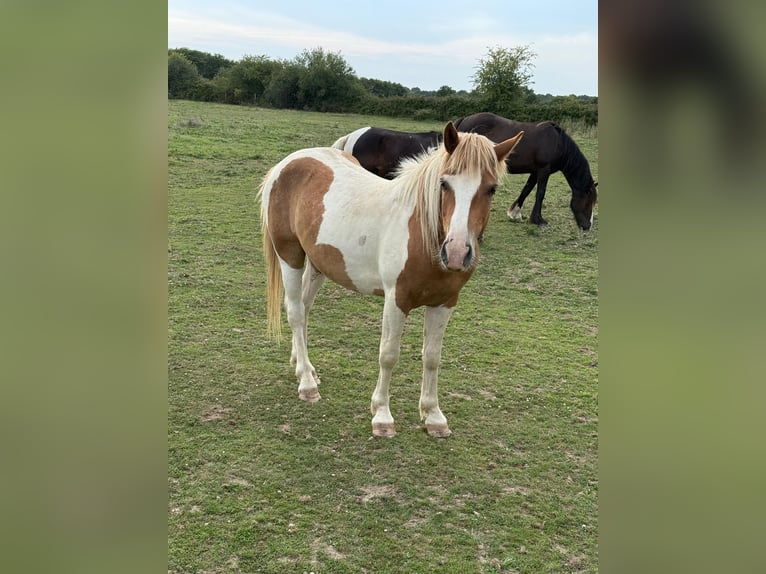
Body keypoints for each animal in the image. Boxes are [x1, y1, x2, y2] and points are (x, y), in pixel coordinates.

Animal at [259, 122, 523, 437]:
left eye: (491, 189)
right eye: (444, 184)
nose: (457, 253)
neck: (423, 235)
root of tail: (288, 162)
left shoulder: (445, 303)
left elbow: (432, 357)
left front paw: (434, 417)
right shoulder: (396, 300)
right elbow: (388, 355)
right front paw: (382, 416)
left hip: (318, 264)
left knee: (304, 308)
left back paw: (304, 367)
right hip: (290, 256)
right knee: (296, 313)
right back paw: (307, 384)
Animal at [454, 112, 597, 230]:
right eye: (589, 201)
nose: (588, 226)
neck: (558, 143)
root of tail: (463, 120)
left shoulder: (535, 172)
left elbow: (526, 190)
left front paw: (515, 213)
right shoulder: (544, 170)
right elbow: (540, 193)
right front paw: (538, 220)